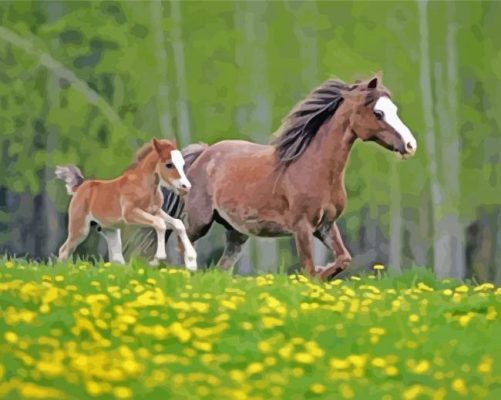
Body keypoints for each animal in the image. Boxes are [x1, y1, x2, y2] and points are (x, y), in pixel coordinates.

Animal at [54, 138, 195, 272]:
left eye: (182, 164)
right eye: (169, 164)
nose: (186, 187)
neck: (142, 185)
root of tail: (80, 187)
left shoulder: (156, 211)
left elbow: (178, 224)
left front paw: (191, 261)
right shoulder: (130, 214)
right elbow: (160, 224)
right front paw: (158, 258)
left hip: (110, 230)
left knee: (116, 260)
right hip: (80, 229)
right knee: (64, 250)